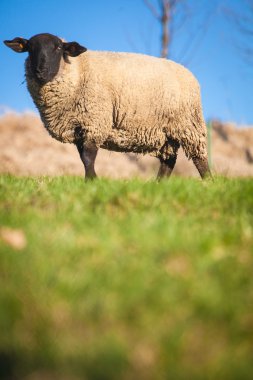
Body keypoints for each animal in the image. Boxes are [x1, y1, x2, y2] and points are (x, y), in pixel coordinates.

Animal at [3, 32, 211, 180]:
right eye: (30, 48)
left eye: (58, 48)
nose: (41, 70)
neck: (77, 72)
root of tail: (188, 73)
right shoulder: (79, 127)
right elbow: (82, 157)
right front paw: (92, 180)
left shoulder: (95, 120)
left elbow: (88, 156)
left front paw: (92, 181)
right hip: (165, 132)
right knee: (168, 161)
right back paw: (159, 185)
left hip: (188, 125)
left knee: (200, 159)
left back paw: (208, 182)